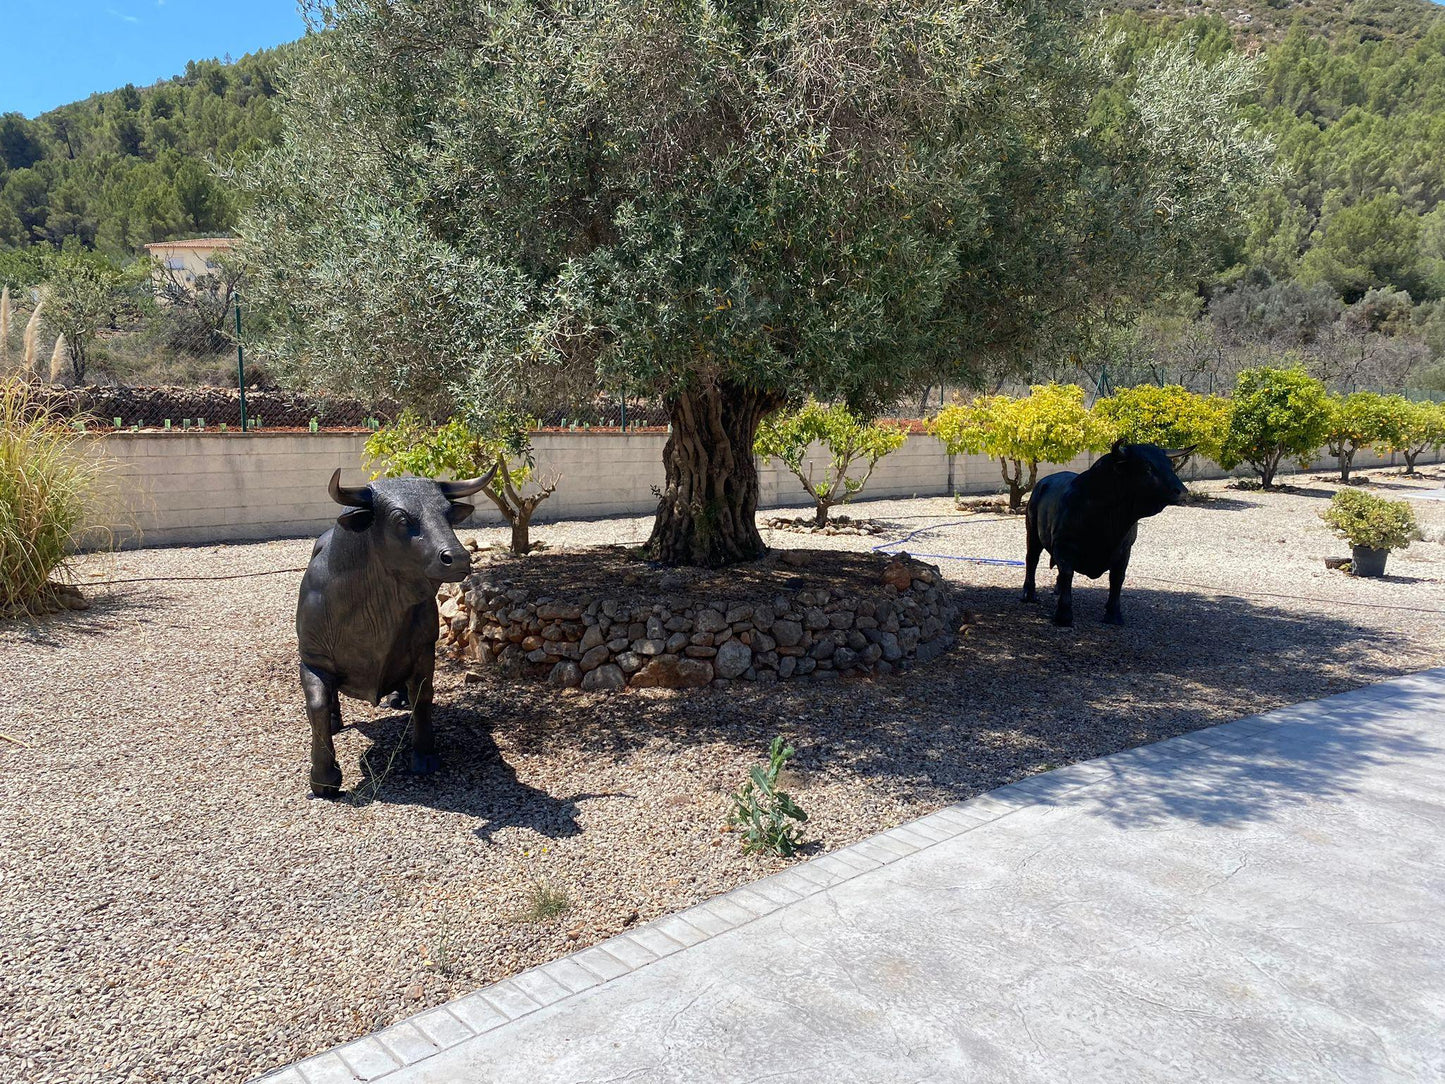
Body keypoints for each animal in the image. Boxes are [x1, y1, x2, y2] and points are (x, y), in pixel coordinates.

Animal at [297, 467, 495, 797]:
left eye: (447, 513)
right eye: (401, 518)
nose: (458, 557)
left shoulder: (424, 649)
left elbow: (422, 696)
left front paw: (424, 755)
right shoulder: (312, 659)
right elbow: (318, 706)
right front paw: (323, 777)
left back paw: (397, 696)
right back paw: (337, 719)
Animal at [1022, 441, 1190, 628]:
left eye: (1170, 465)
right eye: (1147, 467)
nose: (1182, 492)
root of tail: (1043, 482)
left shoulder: (1124, 550)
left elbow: (1117, 579)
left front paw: (1113, 614)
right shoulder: (1064, 545)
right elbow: (1067, 573)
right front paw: (1063, 615)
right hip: (1033, 533)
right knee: (1032, 560)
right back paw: (1029, 594)